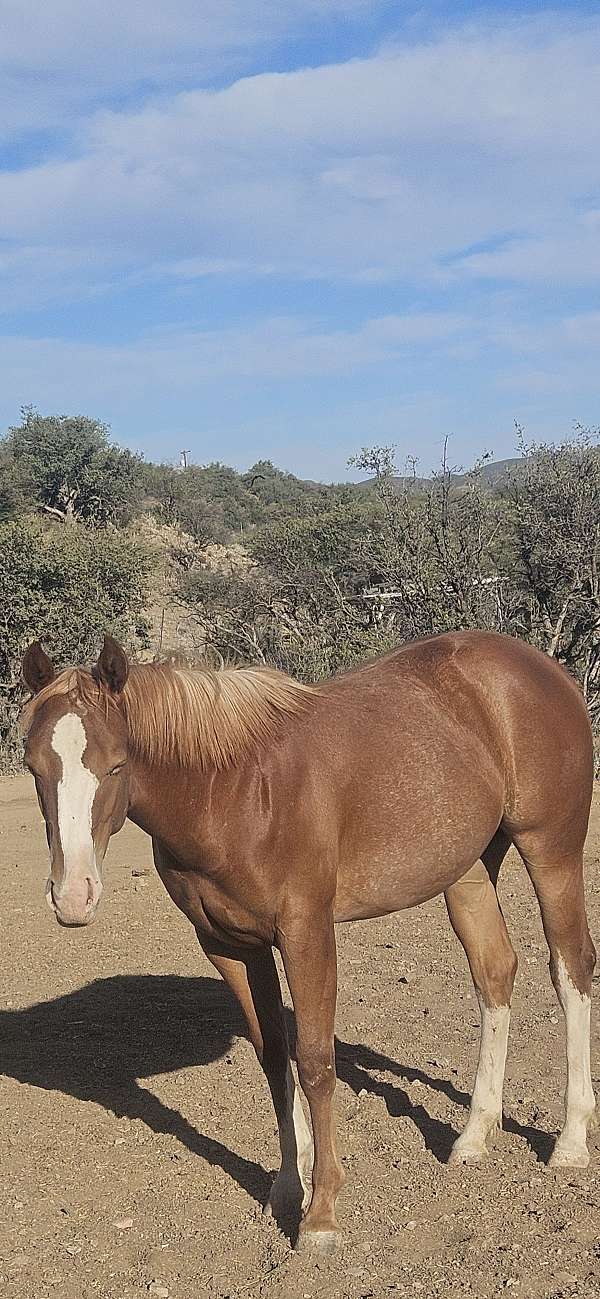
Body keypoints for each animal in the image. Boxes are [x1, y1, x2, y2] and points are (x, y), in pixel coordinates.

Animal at [20, 629, 596, 1255]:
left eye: (117, 763)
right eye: (33, 766)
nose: (73, 895)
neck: (236, 791)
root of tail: (544, 670)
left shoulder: (307, 934)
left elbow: (316, 1062)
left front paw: (321, 1214)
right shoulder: (230, 945)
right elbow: (274, 1058)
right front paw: (287, 1187)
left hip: (551, 852)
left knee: (570, 969)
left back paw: (570, 1143)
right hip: (467, 873)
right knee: (494, 973)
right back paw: (473, 1136)